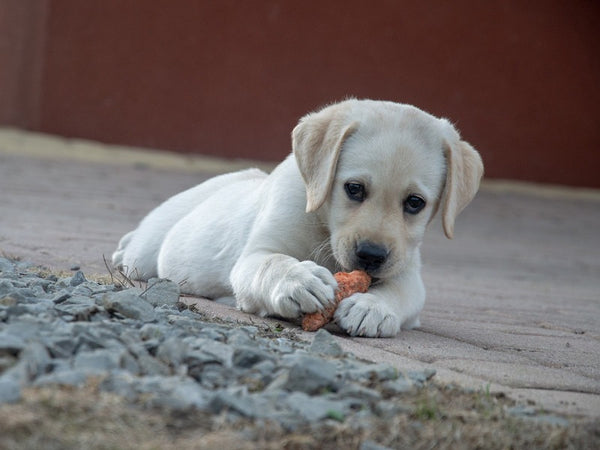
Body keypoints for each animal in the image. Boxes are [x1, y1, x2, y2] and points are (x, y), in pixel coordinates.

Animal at [115, 99, 486, 338]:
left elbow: (401, 292)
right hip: (147, 251)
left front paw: (373, 307)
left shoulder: (407, 270)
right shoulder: (254, 256)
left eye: (414, 203)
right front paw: (298, 280)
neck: (323, 226)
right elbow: (273, 263)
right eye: (354, 188)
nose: (371, 256)